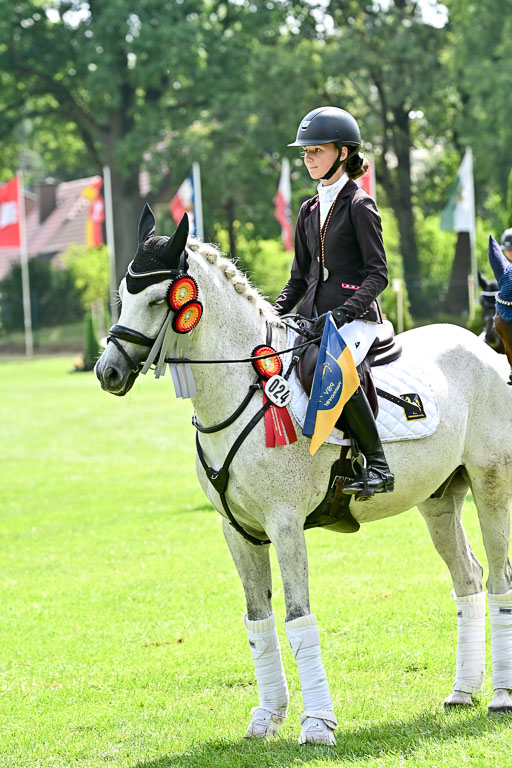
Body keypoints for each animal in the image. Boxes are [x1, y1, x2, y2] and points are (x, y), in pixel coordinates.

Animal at [95, 207, 512, 745]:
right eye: (122, 297)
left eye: (154, 300)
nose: (107, 372)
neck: (242, 387)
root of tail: (489, 353)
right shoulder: (237, 530)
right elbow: (259, 619)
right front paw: (266, 717)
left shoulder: (286, 524)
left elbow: (298, 618)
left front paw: (316, 724)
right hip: (439, 499)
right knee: (468, 579)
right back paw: (462, 691)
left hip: (490, 484)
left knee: (500, 580)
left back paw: (500, 697)